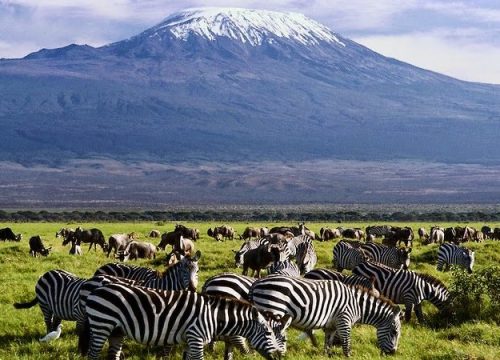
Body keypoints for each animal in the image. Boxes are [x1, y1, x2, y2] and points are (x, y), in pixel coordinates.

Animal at [80, 282, 288, 360]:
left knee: (113, 353)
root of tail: (97, 289)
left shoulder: (189, 340)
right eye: (269, 333)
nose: (279, 356)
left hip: (117, 330)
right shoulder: (196, 338)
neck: (214, 317)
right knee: (93, 353)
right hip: (101, 325)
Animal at [249, 276, 402, 354]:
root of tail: (257, 282)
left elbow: (328, 343)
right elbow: (346, 344)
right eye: (394, 332)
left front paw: (326, 355)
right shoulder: (344, 320)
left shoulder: (332, 325)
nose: (393, 353)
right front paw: (348, 355)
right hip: (272, 309)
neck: (357, 305)